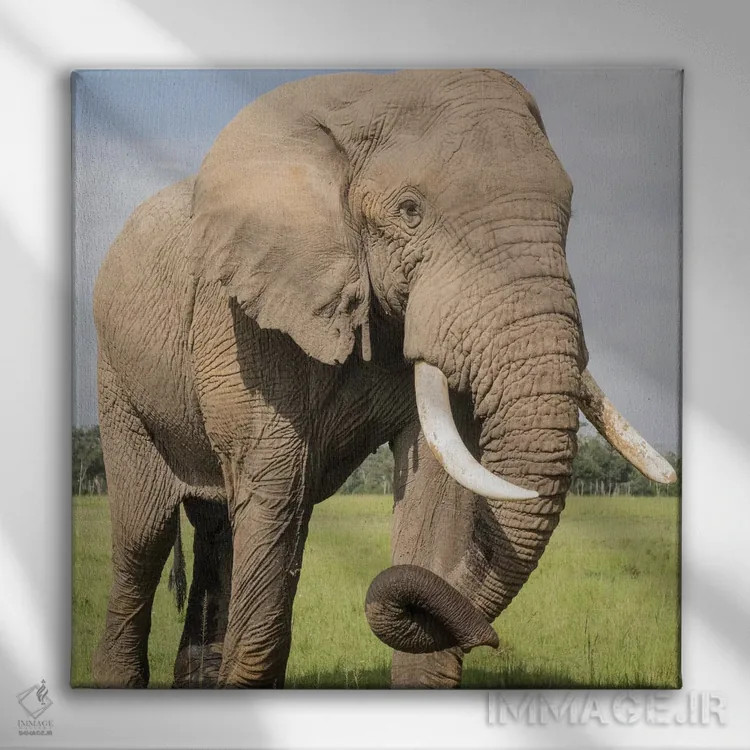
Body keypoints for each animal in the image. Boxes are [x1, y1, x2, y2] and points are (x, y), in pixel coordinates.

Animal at [91, 69, 675, 689]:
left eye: (567, 217)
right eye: (410, 210)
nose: (491, 640)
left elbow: (436, 495)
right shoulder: (245, 319)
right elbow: (276, 484)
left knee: (218, 524)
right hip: (117, 374)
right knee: (146, 532)